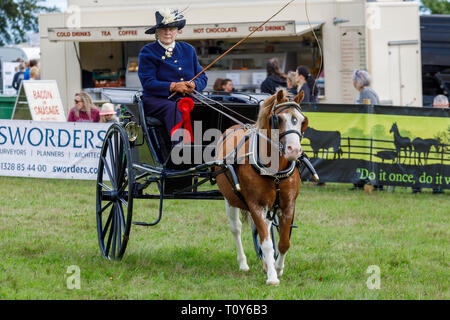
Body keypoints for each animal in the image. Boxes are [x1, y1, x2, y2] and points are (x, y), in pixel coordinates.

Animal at [215, 88, 308, 284]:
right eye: (278, 119)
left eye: (302, 120)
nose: (294, 150)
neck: (275, 173)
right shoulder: (255, 205)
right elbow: (266, 244)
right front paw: (272, 277)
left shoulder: (288, 205)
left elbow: (283, 242)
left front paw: (277, 268)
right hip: (229, 199)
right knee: (236, 229)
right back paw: (243, 263)